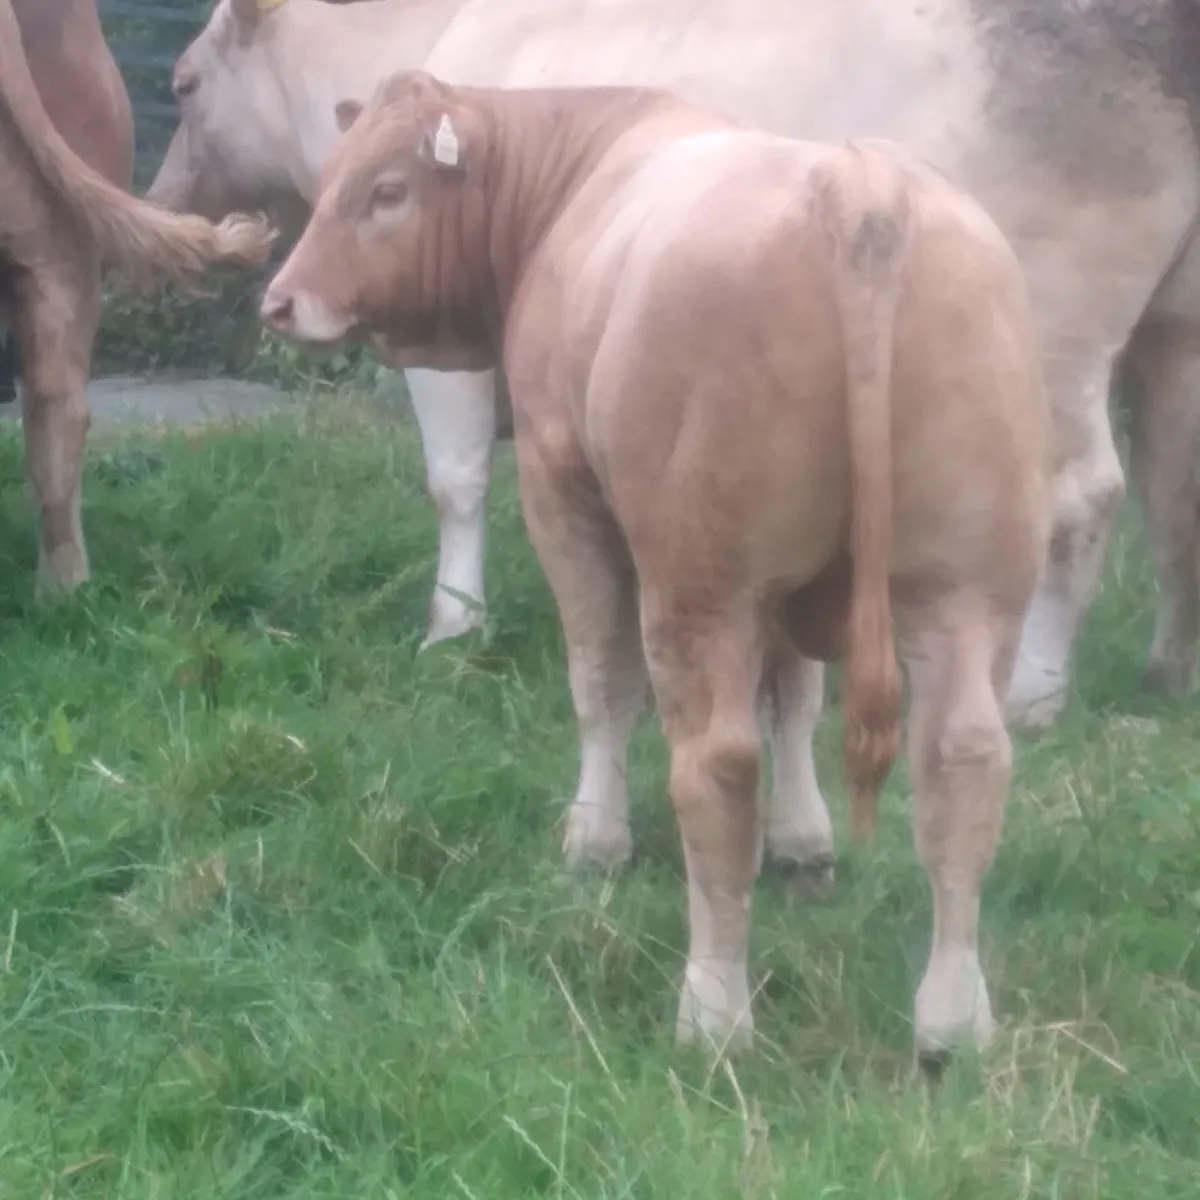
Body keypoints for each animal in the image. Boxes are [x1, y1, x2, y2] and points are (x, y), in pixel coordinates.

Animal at [258, 70, 1052, 1060]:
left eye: (387, 191)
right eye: (332, 180)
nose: (279, 303)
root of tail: (856, 182)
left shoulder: (563, 492)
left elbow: (602, 680)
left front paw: (594, 841)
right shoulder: (784, 590)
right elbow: (794, 697)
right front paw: (803, 844)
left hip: (699, 578)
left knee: (716, 764)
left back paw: (712, 1014)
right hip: (966, 587)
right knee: (963, 759)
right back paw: (952, 1021)